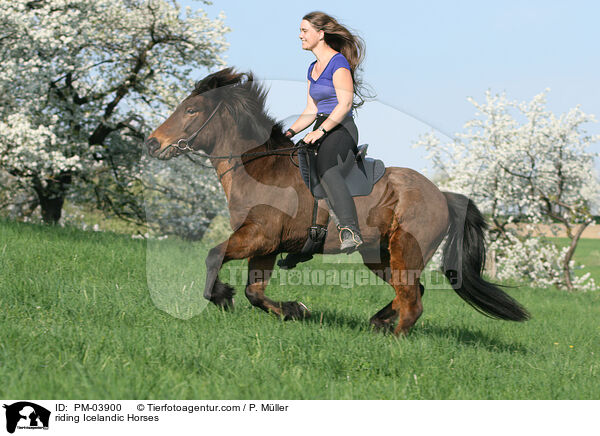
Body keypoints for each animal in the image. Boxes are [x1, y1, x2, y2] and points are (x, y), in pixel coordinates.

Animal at [146, 67, 528, 334]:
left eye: (192, 110)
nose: (152, 143)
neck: (259, 169)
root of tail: (443, 195)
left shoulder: (259, 237)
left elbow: (214, 257)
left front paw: (223, 296)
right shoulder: (265, 245)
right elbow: (255, 292)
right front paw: (294, 310)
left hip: (405, 250)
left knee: (412, 302)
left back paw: (392, 340)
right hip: (378, 254)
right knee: (412, 291)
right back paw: (377, 323)